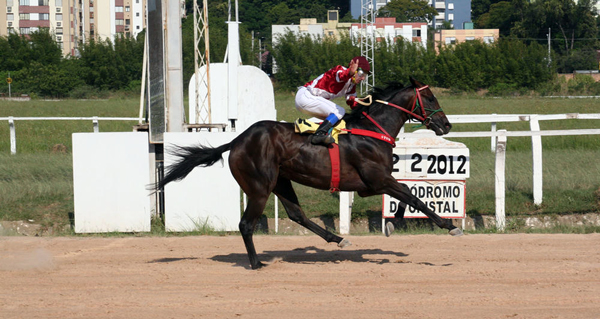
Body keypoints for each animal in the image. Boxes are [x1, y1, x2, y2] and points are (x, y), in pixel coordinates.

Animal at [157, 77, 462, 270]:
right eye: (430, 96)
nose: (446, 124)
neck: (372, 130)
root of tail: (237, 141)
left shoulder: (373, 184)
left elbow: (408, 195)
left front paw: (392, 224)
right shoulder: (376, 180)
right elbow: (413, 196)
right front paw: (449, 226)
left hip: (281, 181)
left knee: (297, 214)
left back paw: (338, 239)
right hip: (259, 187)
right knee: (246, 224)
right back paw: (256, 263)